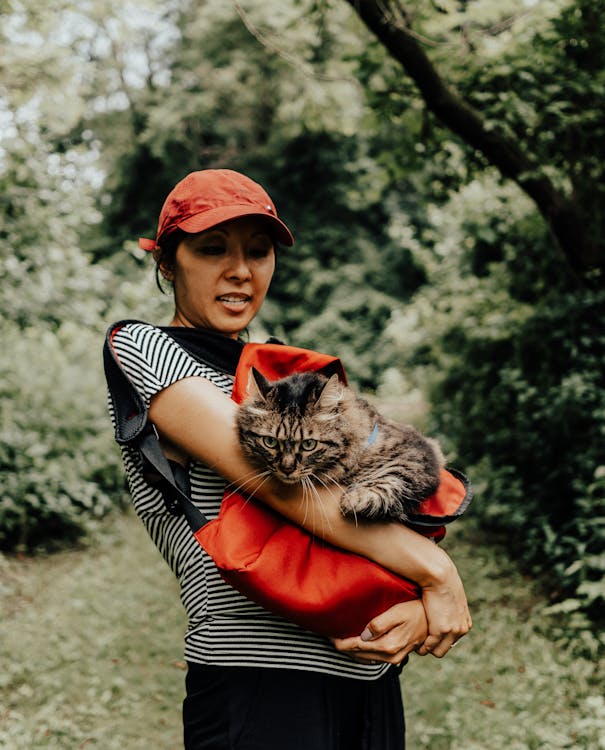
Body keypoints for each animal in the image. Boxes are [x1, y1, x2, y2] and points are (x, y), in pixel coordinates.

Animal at [236, 368, 444, 524]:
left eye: (309, 444)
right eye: (270, 441)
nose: (287, 469)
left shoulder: (418, 453)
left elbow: (393, 476)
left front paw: (358, 499)